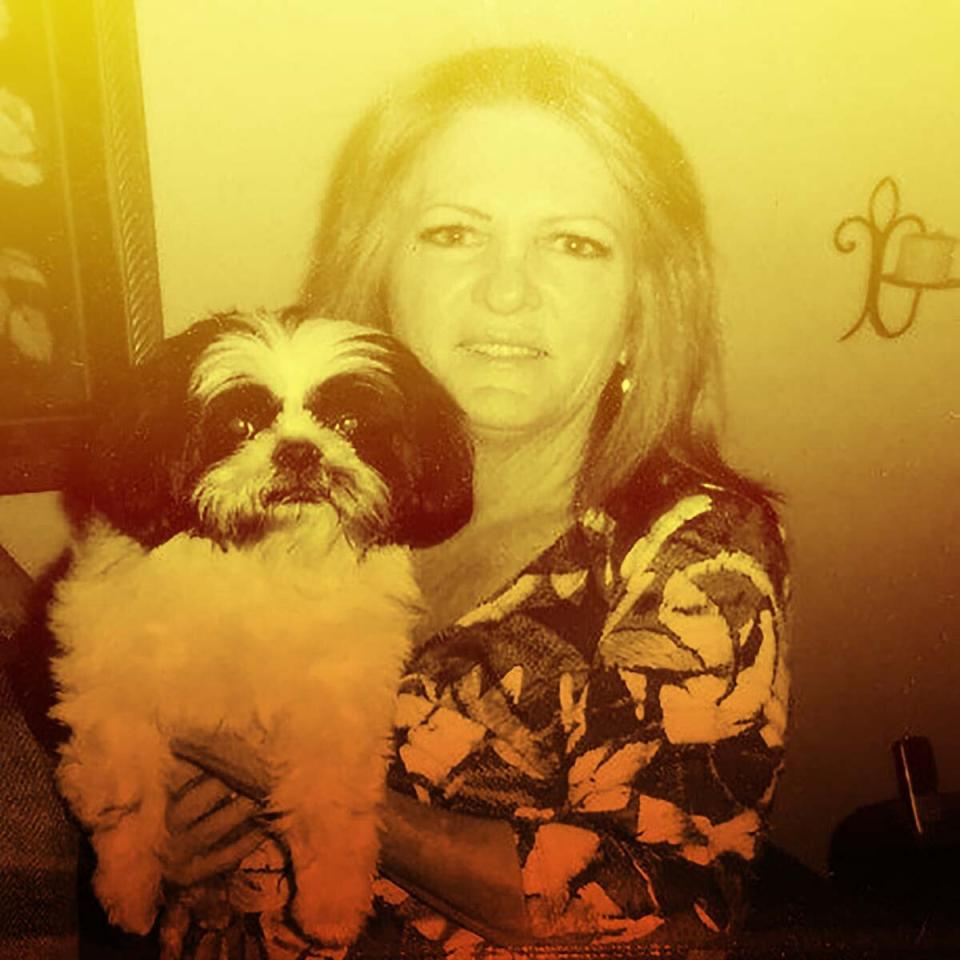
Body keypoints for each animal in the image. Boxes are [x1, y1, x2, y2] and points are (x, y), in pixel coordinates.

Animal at [47, 310, 474, 944]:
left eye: (348, 422)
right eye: (241, 423)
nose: (299, 452)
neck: (270, 559)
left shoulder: (337, 701)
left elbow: (330, 800)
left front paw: (331, 903)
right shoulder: (110, 673)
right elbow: (125, 790)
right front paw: (129, 890)